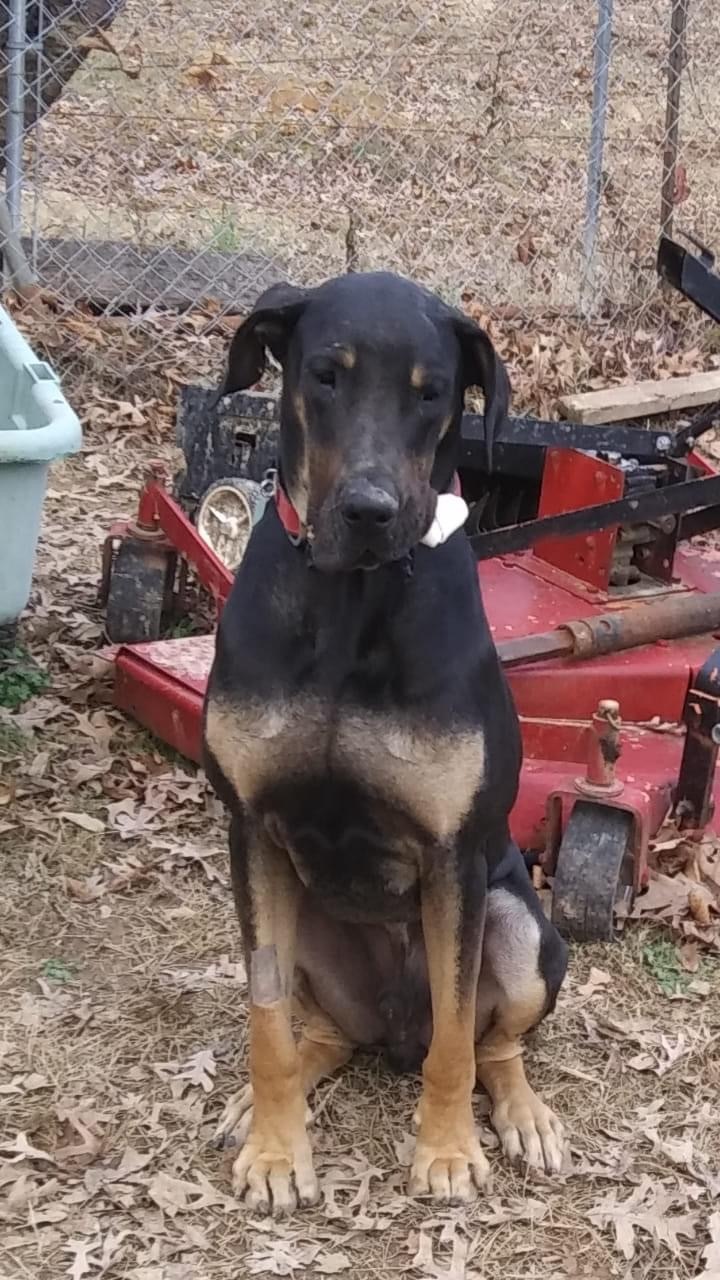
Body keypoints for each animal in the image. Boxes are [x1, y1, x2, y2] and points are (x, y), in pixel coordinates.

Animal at [202, 270, 566, 1208]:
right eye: (325, 375)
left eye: (431, 394)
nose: (370, 512)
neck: (351, 600)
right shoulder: (251, 831)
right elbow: (265, 1021)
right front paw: (276, 1150)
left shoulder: (453, 857)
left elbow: (456, 1039)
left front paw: (446, 1151)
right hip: (306, 921)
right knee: (322, 1033)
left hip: (521, 928)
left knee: (488, 1041)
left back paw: (523, 1114)